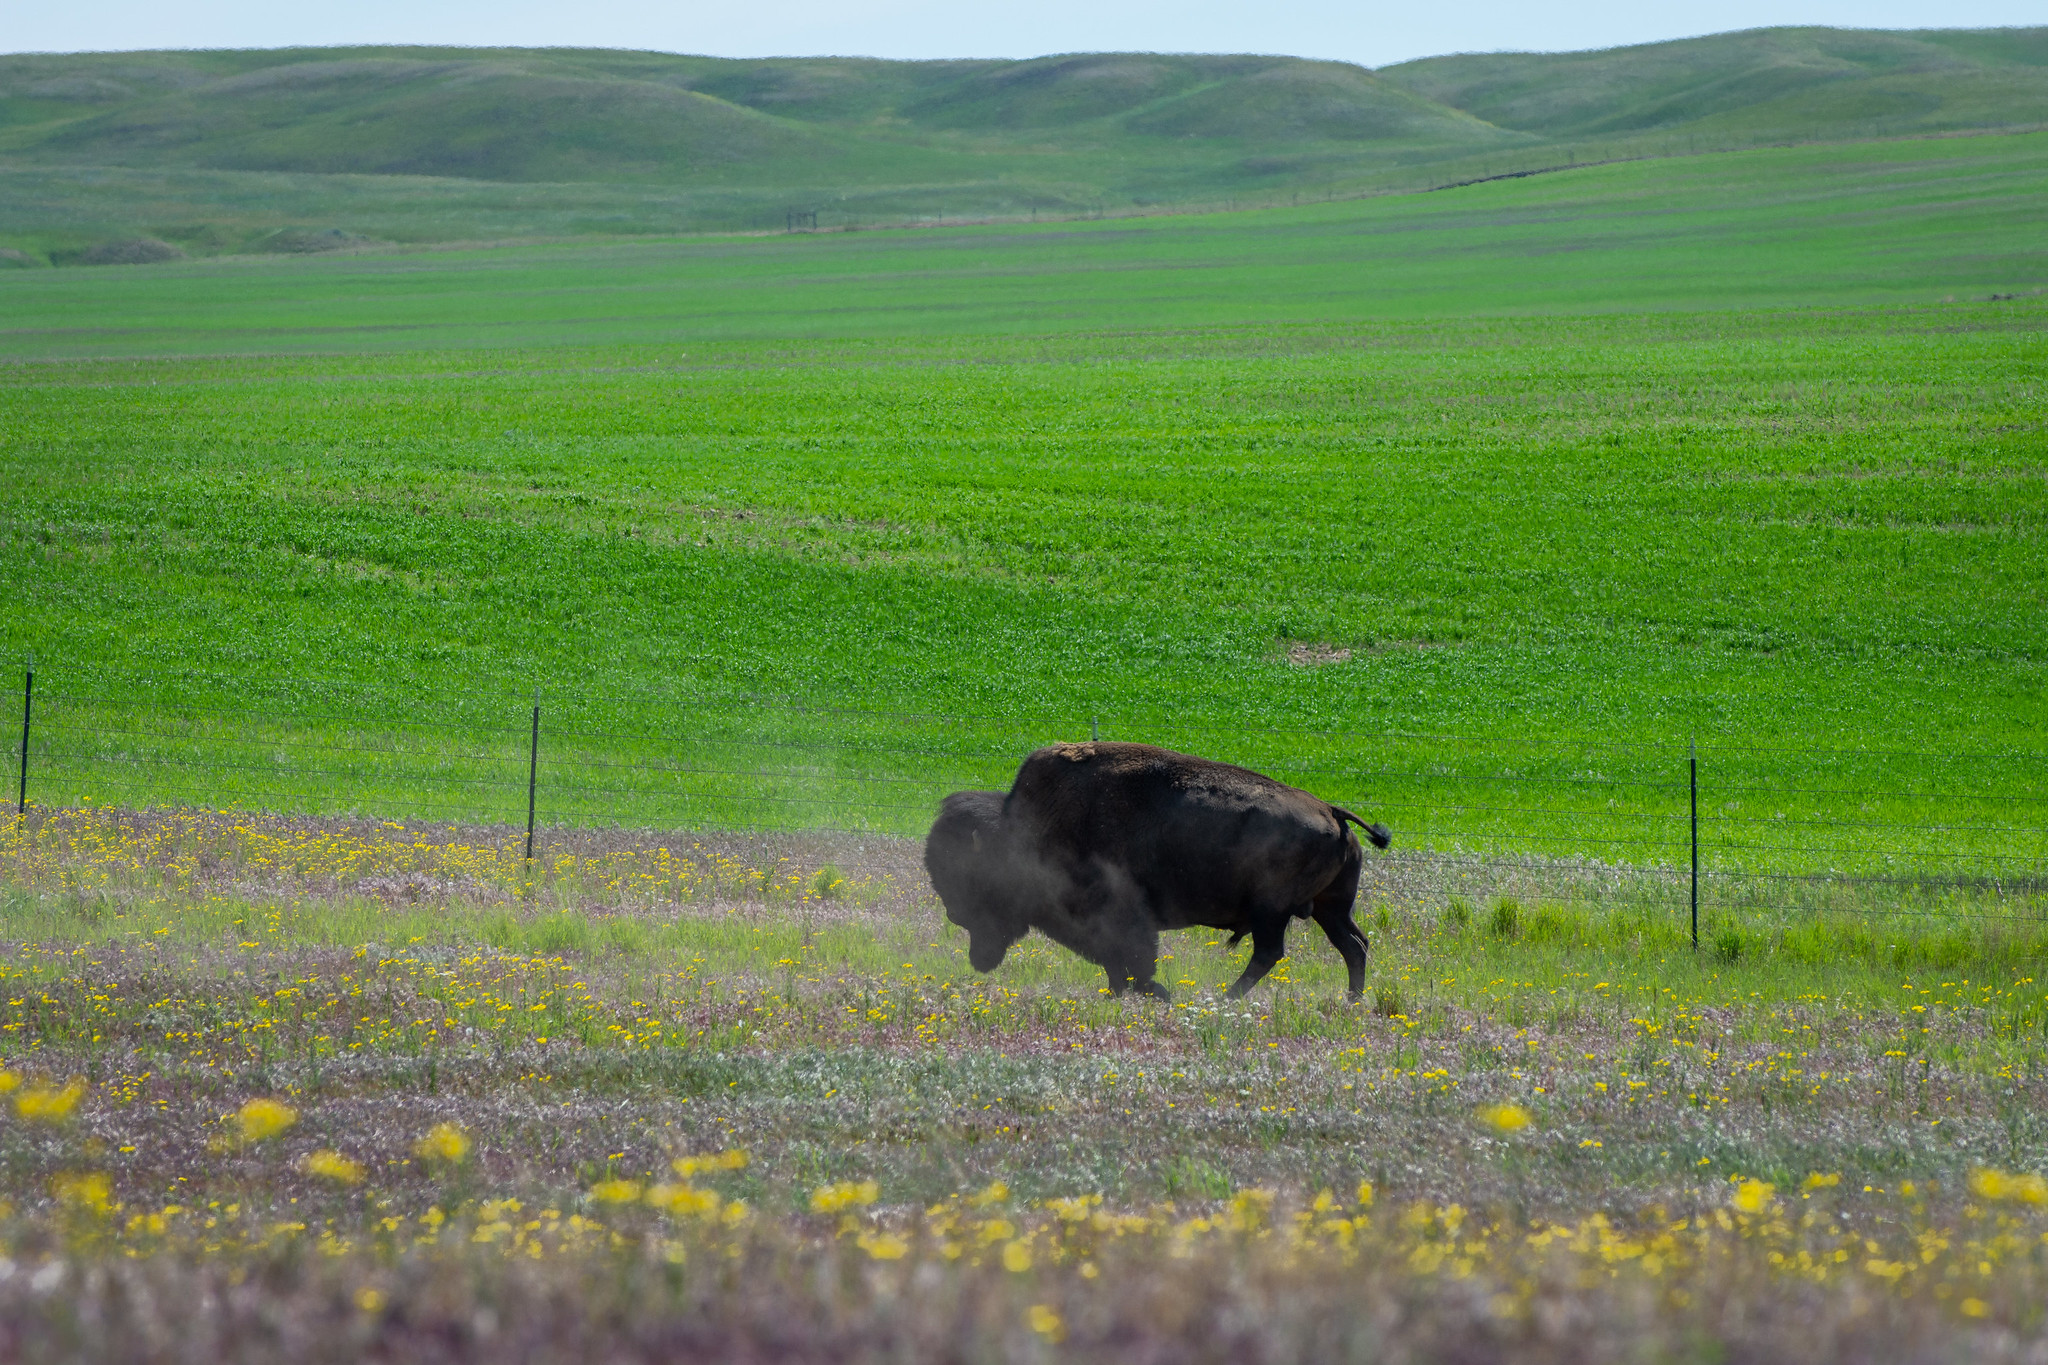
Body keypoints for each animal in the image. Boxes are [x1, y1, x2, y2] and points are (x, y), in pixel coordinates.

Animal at [925, 749, 1392, 1002]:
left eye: (974, 880)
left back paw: (1225, 998)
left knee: (1270, 953)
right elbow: (1120, 965)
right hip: (1331, 908)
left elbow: (1131, 961)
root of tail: (1331, 810)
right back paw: (1351, 1001)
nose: (954, 915)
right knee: (1353, 946)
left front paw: (1154, 993)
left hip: (1272, 911)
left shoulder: (1119, 918)